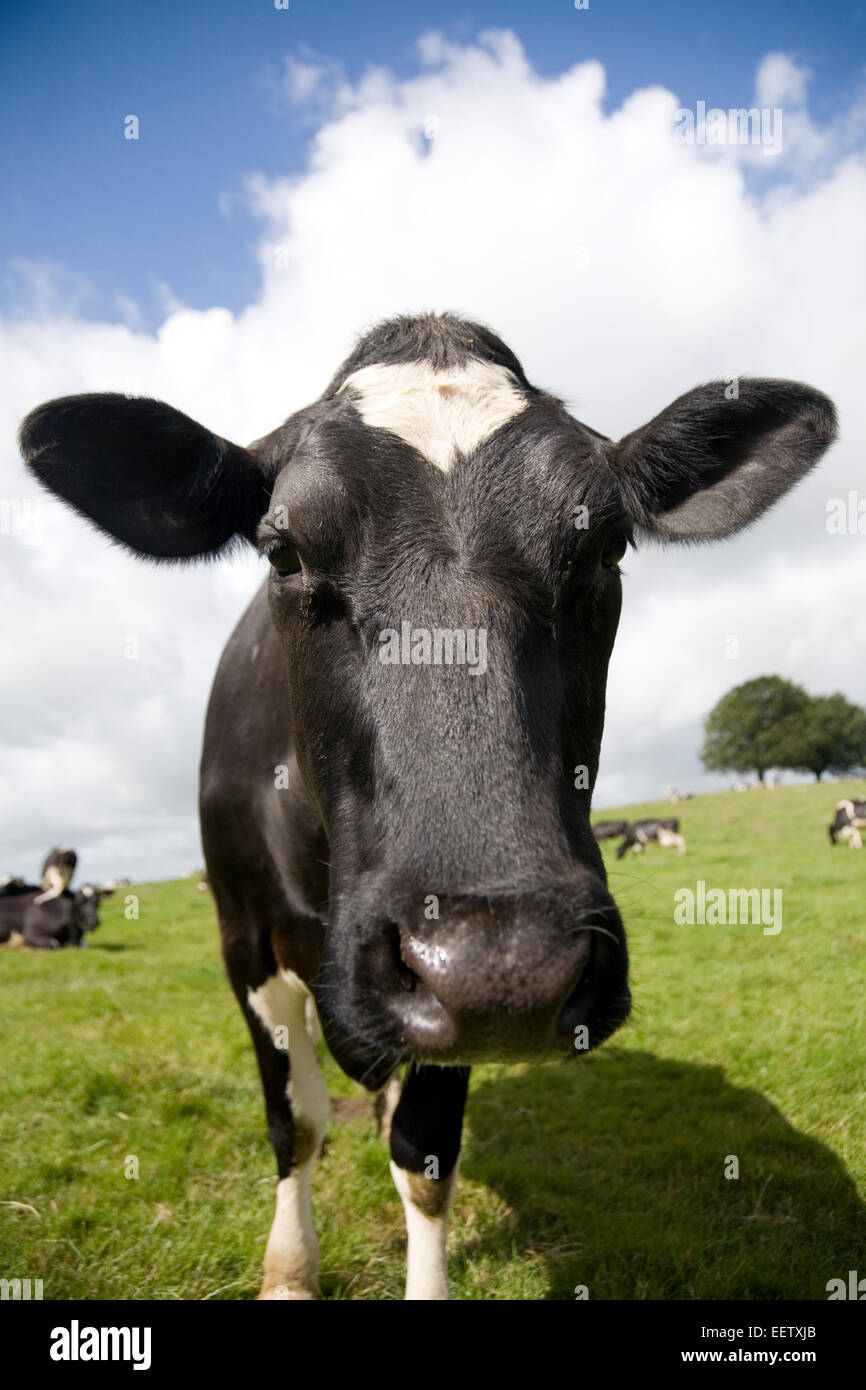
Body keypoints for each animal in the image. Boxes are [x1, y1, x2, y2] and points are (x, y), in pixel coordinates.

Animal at [20, 311, 837, 1300]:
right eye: (282, 549)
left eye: (607, 546)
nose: (503, 962)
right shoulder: (243, 941)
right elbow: (295, 1125)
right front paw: (289, 1270)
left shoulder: (459, 1014)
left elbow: (425, 1155)